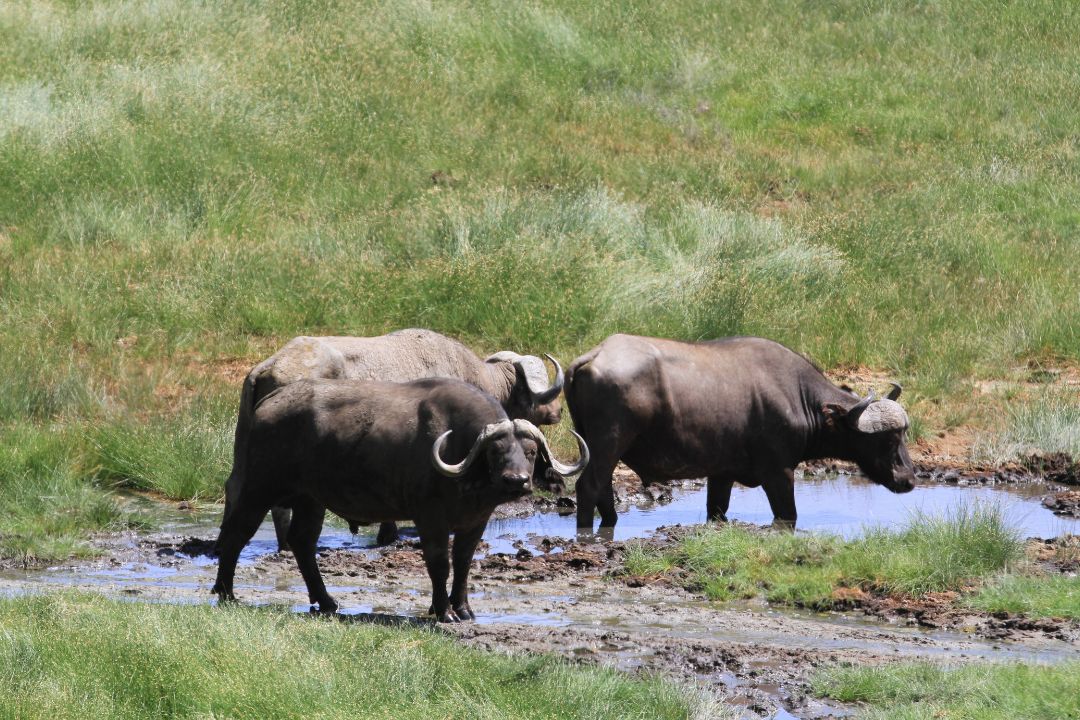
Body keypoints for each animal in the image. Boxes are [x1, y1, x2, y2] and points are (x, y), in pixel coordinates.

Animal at [212, 377, 591, 621]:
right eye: (496, 452)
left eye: (530, 452)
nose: (517, 481)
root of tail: (267, 404)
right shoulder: (430, 518)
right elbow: (439, 563)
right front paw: (443, 611)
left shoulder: (475, 521)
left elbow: (464, 563)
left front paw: (463, 609)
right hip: (259, 487)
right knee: (235, 534)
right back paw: (226, 593)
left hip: (311, 499)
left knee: (302, 542)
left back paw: (327, 602)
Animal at [561, 334, 915, 533]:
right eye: (886, 439)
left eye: (904, 435)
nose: (908, 479)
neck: (798, 397)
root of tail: (594, 355)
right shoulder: (779, 473)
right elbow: (788, 515)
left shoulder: (722, 474)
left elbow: (717, 511)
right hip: (609, 443)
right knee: (588, 486)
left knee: (603, 487)